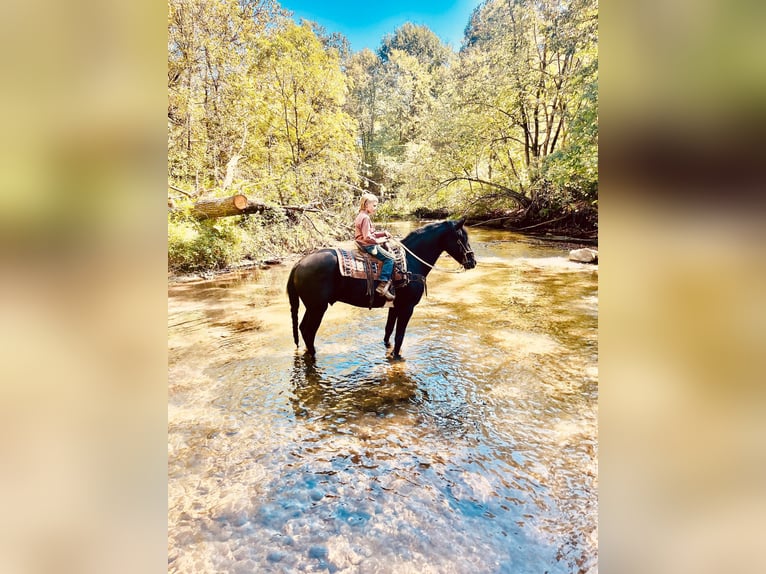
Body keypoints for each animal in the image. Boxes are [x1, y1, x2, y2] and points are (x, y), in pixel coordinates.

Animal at [287, 218, 476, 359]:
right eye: (462, 238)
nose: (472, 262)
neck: (411, 263)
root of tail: (299, 263)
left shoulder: (395, 306)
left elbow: (388, 330)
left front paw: (388, 349)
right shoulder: (407, 308)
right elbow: (400, 335)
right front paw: (397, 356)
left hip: (312, 307)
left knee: (302, 328)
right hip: (318, 308)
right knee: (308, 331)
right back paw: (313, 356)